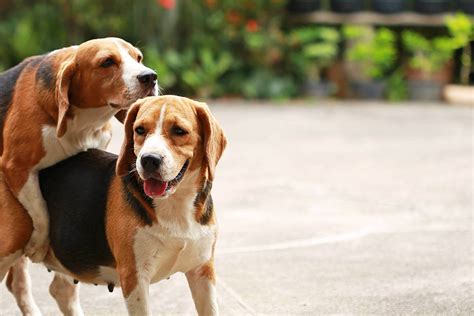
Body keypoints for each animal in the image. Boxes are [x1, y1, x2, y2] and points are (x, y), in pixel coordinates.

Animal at [0, 37, 158, 262]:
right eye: (107, 62)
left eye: (138, 58)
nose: (150, 77)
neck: (84, 122)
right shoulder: (16, 166)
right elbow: (40, 209)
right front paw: (39, 244)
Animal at [0, 95, 228, 314]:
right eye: (139, 130)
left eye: (179, 131)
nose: (149, 160)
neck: (175, 204)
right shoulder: (135, 279)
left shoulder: (202, 273)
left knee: (60, 290)